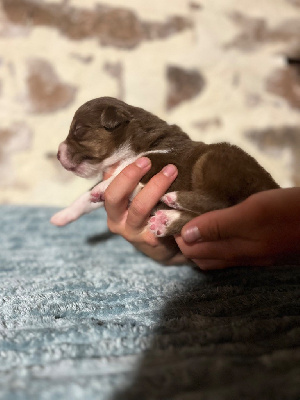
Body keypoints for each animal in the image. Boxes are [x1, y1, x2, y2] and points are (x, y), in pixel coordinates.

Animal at [51, 96, 278, 238]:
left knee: (220, 203)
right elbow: (85, 198)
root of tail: (271, 187)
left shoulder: (167, 156)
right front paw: (62, 216)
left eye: (79, 130)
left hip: (214, 159)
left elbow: (134, 164)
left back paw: (174, 200)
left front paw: (102, 187)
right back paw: (167, 220)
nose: (57, 154)